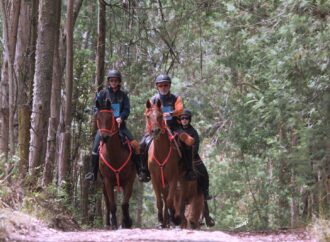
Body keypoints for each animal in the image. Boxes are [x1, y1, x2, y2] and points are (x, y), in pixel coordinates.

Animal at [95, 98, 137, 229]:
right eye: (97, 118)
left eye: (111, 118)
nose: (104, 137)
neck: (114, 156)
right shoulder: (107, 181)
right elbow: (112, 205)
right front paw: (113, 223)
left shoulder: (129, 181)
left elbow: (124, 204)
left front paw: (127, 222)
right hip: (103, 184)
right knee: (108, 203)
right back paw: (108, 223)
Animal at [144, 99, 195, 228]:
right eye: (148, 116)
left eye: (160, 116)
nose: (155, 131)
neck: (161, 153)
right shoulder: (155, 179)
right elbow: (159, 201)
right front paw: (161, 221)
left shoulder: (173, 178)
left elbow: (170, 200)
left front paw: (174, 219)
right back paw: (166, 221)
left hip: (182, 178)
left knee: (179, 198)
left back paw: (176, 219)